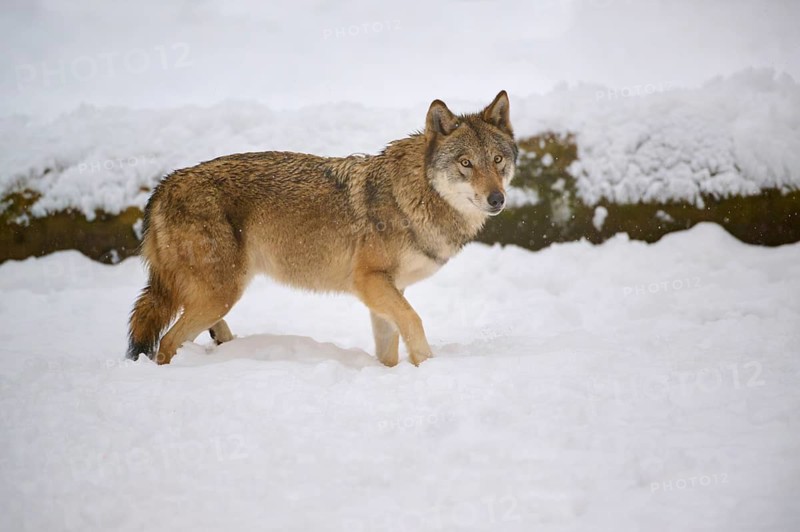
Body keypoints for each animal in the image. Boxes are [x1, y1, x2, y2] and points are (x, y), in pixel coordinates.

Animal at [127, 91, 516, 366]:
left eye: (497, 160)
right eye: (466, 163)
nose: (497, 199)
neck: (415, 196)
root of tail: (163, 186)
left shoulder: (389, 289)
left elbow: (388, 349)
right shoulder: (370, 282)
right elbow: (414, 321)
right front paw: (428, 368)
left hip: (215, 298)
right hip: (220, 294)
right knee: (165, 343)